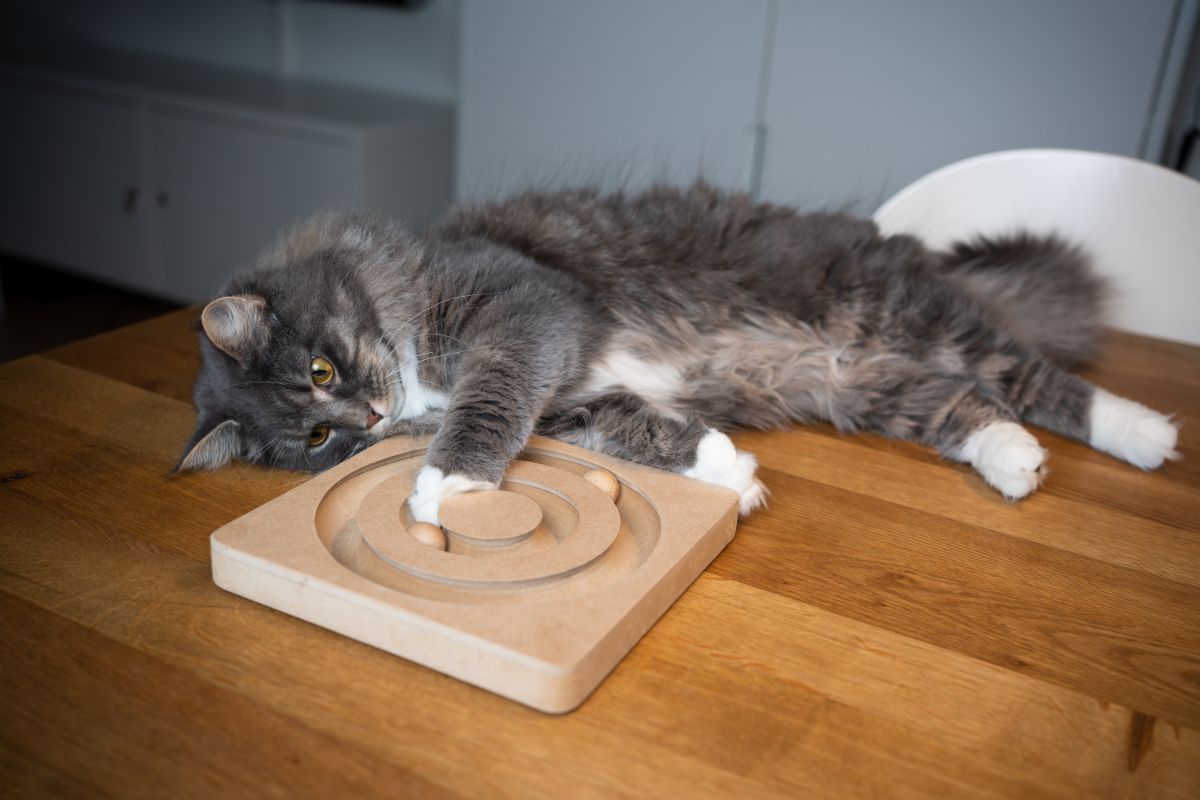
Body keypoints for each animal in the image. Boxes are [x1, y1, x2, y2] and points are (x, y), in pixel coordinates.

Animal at [177, 178, 1180, 522]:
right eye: (315, 439)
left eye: (320, 372)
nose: (370, 414)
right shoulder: (575, 400)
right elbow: (645, 428)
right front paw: (731, 473)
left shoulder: (526, 311)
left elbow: (488, 404)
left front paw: (450, 484)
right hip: (852, 381)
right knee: (965, 407)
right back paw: (1014, 461)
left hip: (903, 316)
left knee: (1034, 376)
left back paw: (1143, 433)